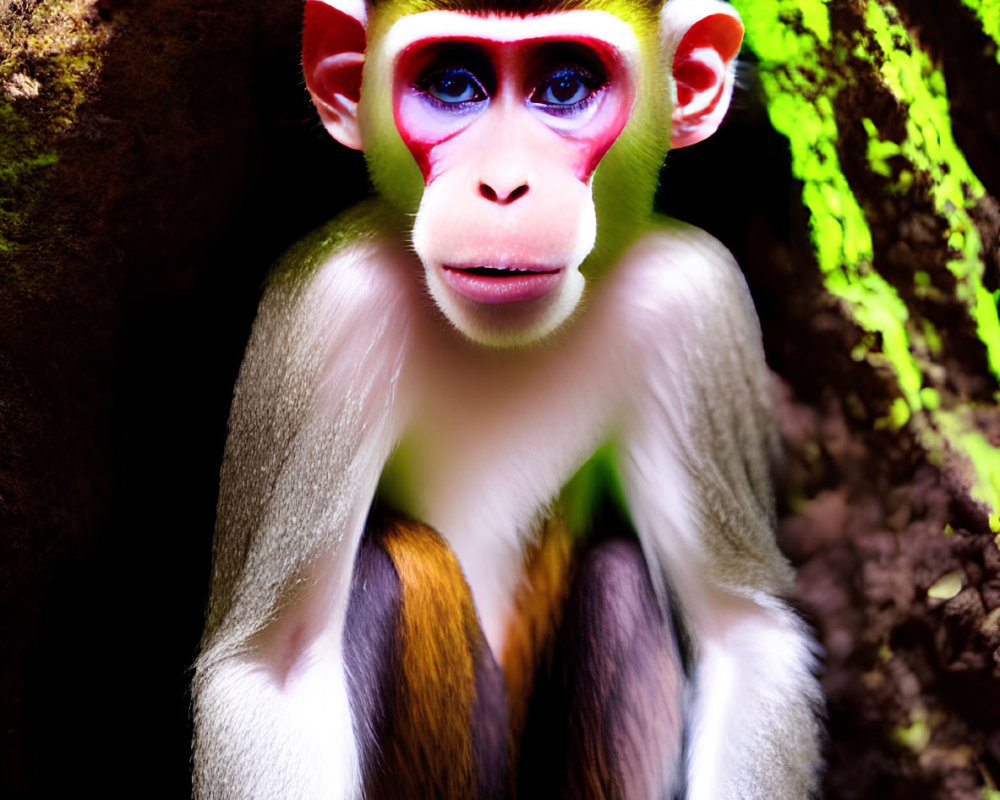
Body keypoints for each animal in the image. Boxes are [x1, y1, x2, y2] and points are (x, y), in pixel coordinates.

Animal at [191, 0, 824, 796]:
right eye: (454, 84)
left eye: (564, 86)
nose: (503, 186)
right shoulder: (330, 306)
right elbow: (273, 666)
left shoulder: (693, 298)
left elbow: (742, 629)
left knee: (618, 582)